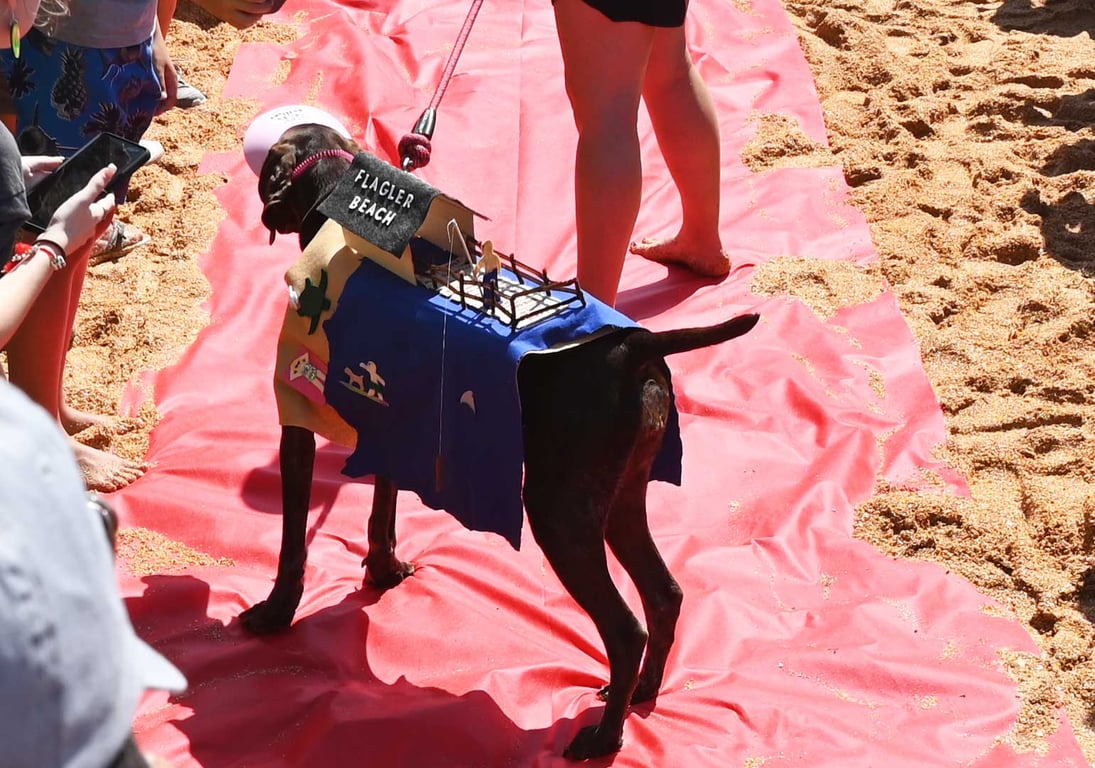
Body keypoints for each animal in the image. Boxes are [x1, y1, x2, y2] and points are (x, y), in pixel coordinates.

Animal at [239, 122, 753, 758]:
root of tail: (634, 346)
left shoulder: (299, 419)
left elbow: (292, 542)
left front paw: (275, 613)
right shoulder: (395, 423)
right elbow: (383, 513)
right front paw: (384, 572)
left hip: (559, 516)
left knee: (626, 629)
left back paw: (603, 738)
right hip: (617, 502)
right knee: (665, 595)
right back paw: (639, 695)